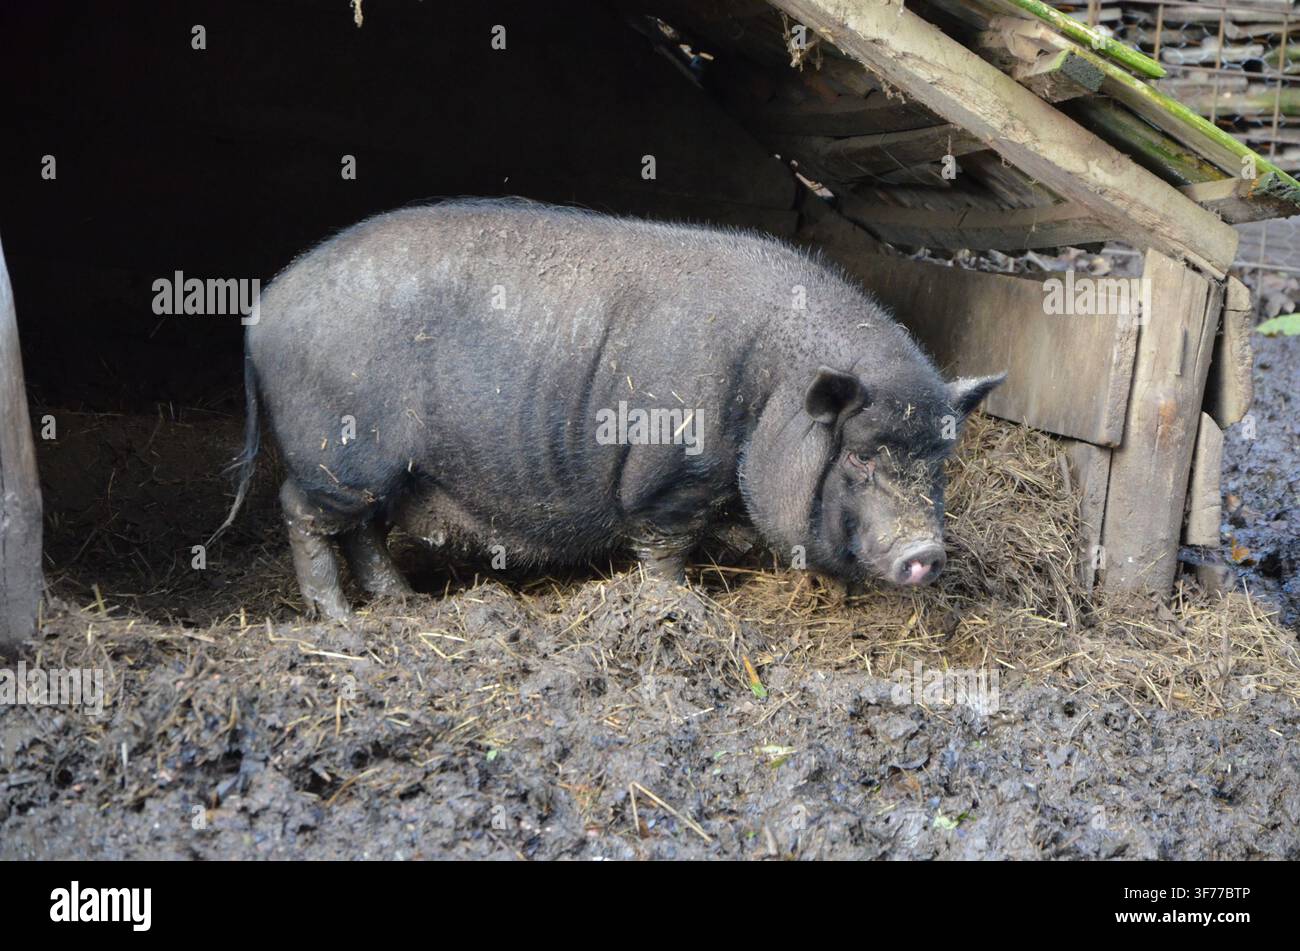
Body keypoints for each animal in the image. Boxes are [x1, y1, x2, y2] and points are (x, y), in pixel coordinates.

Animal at [213, 198, 1002, 619]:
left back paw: (403, 605)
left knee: (364, 531)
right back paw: (340, 618)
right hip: (339, 454)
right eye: (860, 458)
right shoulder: (671, 476)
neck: (771, 392)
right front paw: (681, 606)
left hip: (380, 471)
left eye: (940, 461)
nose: (926, 551)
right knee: (303, 511)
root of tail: (264, 308)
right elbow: (664, 546)